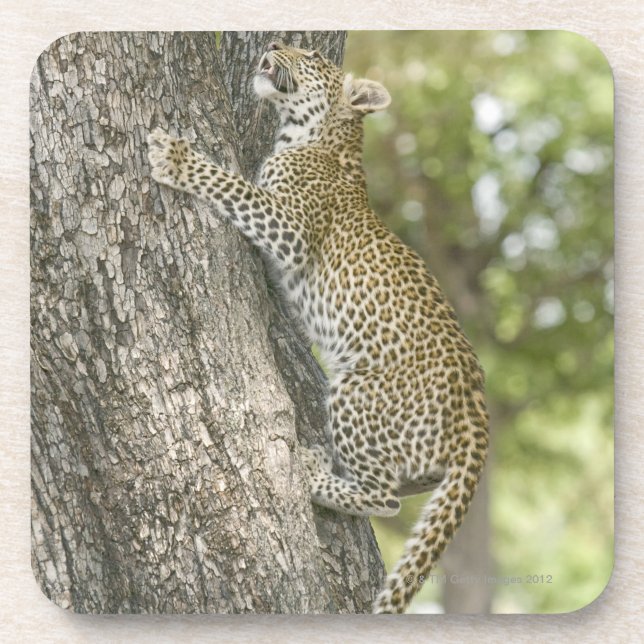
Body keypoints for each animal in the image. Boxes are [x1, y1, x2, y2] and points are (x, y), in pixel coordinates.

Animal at [147, 41, 489, 614]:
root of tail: (476, 416)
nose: (273, 43)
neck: (316, 137)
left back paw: (311, 477)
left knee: (387, 498)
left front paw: (175, 158)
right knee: (410, 484)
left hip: (357, 388)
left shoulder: (288, 228)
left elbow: (232, 184)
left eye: (308, 53)